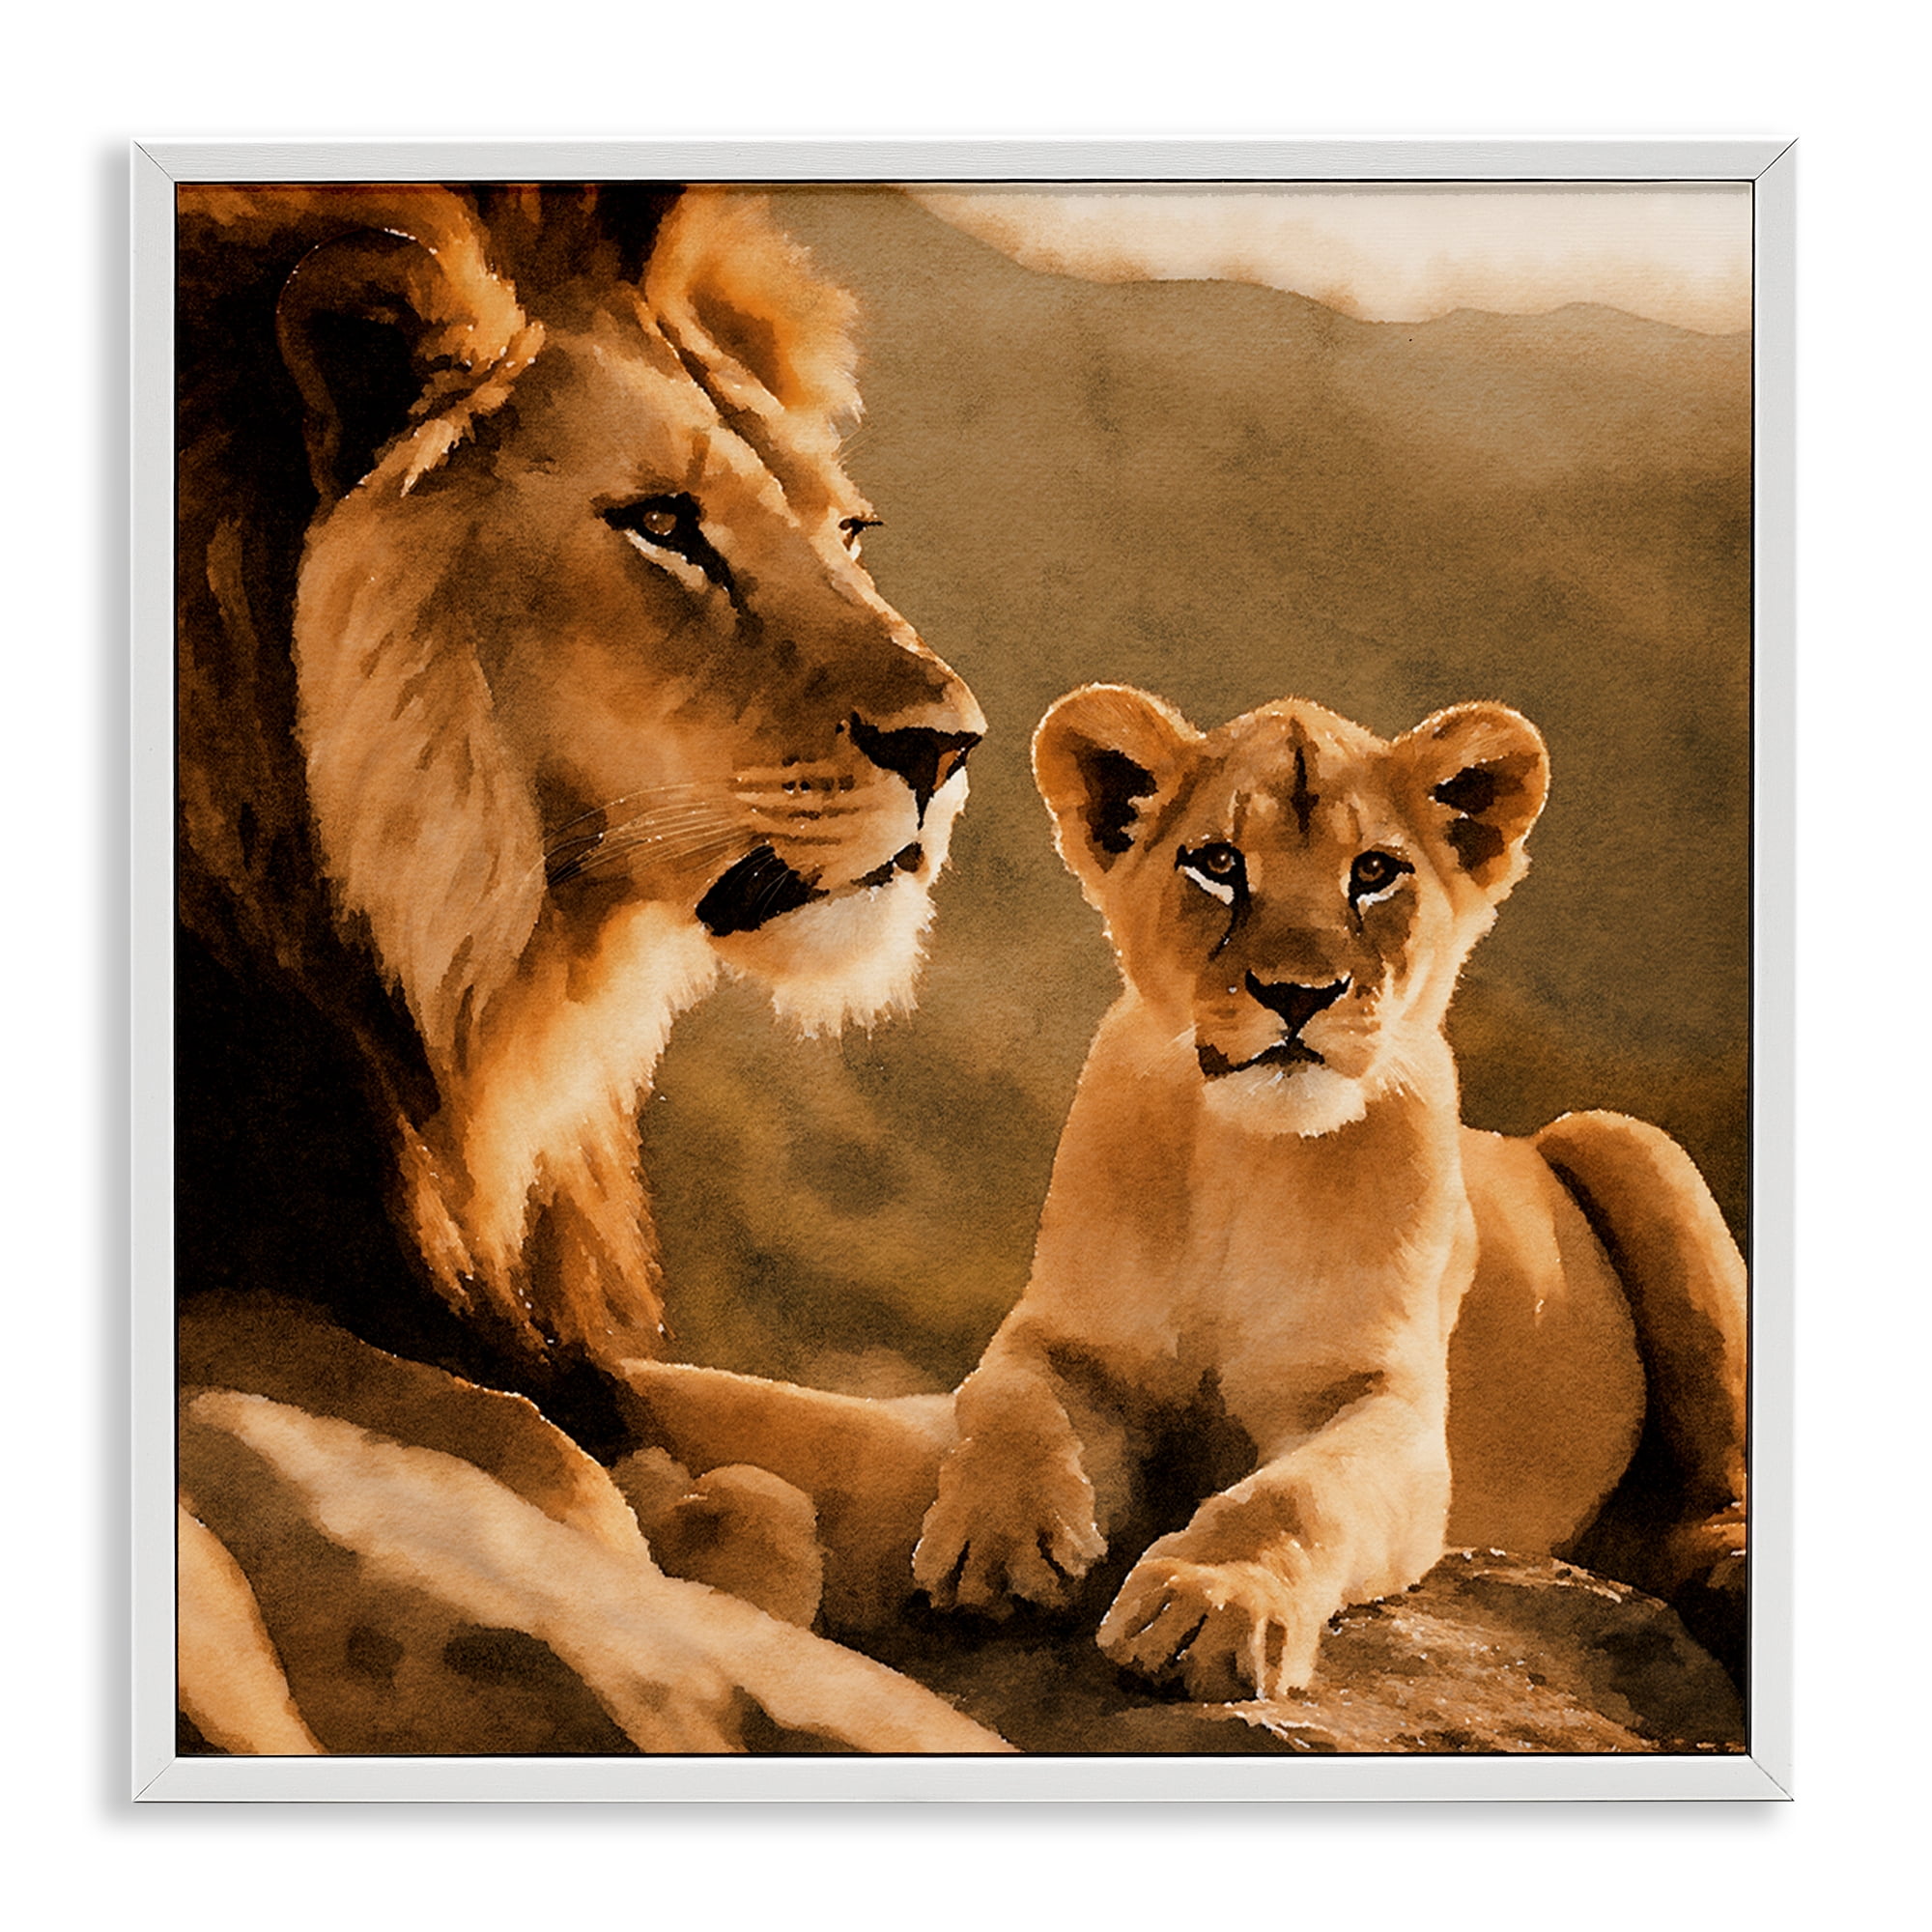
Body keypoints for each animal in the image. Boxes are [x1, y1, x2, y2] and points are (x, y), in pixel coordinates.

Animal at [174, 182, 999, 1753]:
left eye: (848, 531)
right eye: (664, 525)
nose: (951, 747)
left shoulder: (498, 1309)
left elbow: (846, 1432)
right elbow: (545, 1464)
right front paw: (693, 1553)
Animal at [905, 684, 1748, 1702]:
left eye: (1375, 872)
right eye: (1219, 864)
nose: (1299, 992)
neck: (1248, 1160)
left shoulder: (1390, 1407)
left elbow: (1294, 1495)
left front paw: (1209, 1603)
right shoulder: (1064, 1334)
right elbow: (1007, 1404)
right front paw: (997, 1542)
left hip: (1626, 1138)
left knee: (1724, 1482)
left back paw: (1724, 1566)